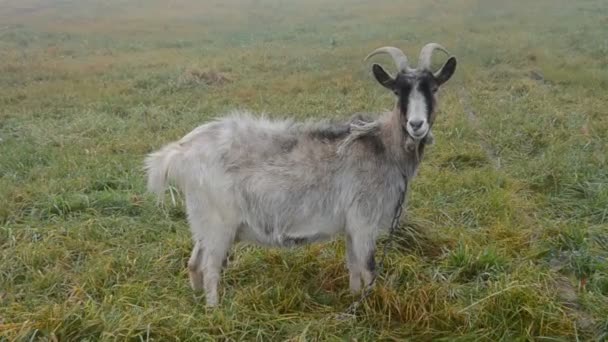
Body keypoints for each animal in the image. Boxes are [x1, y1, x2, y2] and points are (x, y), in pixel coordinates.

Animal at [142, 41, 456, 306]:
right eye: (398, 91)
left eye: (434, 88)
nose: (416, 125)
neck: (382, 146)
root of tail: (180, 152)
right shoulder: (364, 222)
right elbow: (369, 270)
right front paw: (365, 309)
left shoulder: (351, 226)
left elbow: (354, 268)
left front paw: (353, 301)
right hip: (219, 222)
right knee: (209, 268)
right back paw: (215, 311)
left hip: (202, 222)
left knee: (194, 262)